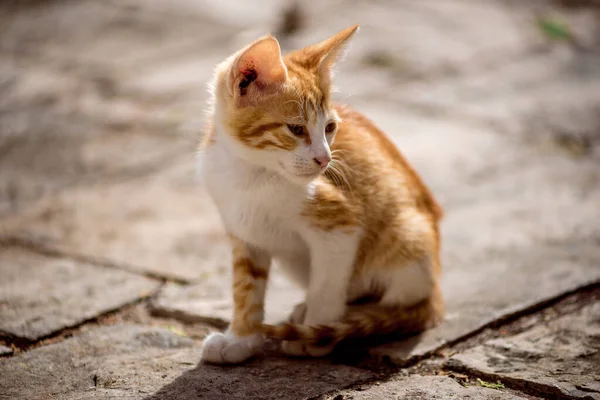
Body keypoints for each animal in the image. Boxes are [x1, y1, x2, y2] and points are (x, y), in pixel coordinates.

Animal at [199, 23, 442, 364]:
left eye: (329, 128)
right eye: (296, 129)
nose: (324, 159)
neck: (253, 174)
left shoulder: (340, 227)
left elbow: (326, 286)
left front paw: (315, 332)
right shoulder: (244, 232)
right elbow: (245, 288)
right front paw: (241, 339)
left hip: (409, 238)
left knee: (395, 301)